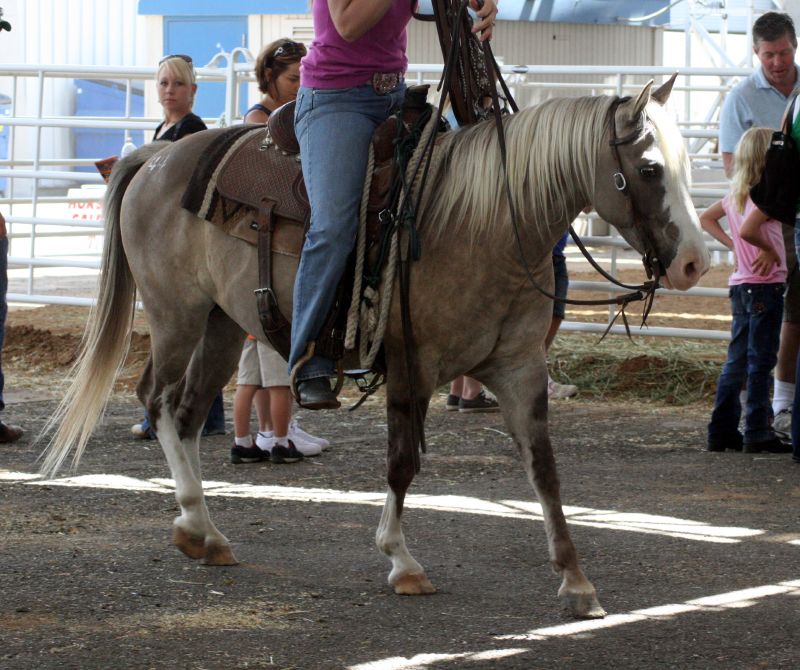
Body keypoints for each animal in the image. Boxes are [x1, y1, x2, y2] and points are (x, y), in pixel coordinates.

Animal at [41, 75, 709, 619]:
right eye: (650, 169)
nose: (695, 263)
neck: (485, 222)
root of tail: (156, 156)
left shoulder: (520, 369)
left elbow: (544, 471)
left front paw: (575, 582)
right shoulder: (412, 363)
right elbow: (402, 462)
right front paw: (402, 562)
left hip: (222, 325)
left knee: (185, 413)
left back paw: (204, 533)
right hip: (175, 314)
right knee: (155, 398)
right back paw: (191, 515)